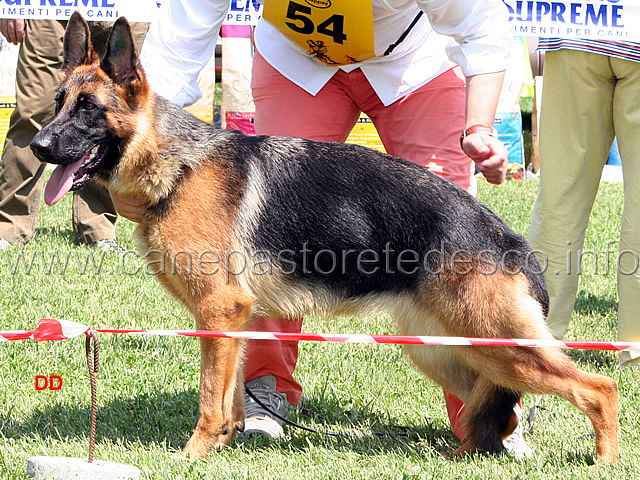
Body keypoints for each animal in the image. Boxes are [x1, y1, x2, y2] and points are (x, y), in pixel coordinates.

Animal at [31, 13, 620, 464]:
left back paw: (603, 459)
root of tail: (509, 239)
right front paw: (224, 445)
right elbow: (230, 396)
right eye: (58, 102)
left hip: (499, 345)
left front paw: (192, 456)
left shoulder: (219, 311)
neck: (177, 165)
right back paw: (458, 456)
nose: (38, 146)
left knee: (596, 388)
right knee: (488, 406)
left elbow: (208, 399)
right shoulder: (233, 320)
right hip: (445, 349)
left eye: (89, 110)